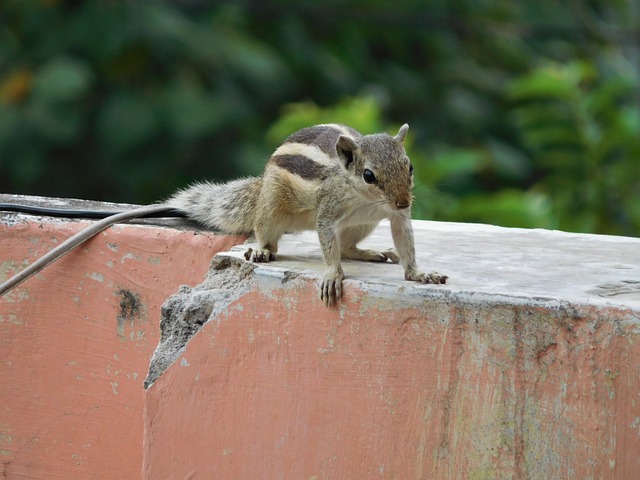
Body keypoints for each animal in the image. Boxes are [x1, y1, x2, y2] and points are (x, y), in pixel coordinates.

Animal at [0, 124, 448, 304]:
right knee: (267, 232)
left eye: (409, 166)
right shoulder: (328, 210)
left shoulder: (392, 217)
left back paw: (368, 252)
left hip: (363, 225)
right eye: (369, 175)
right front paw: (332, 275)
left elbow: (405, 242)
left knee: (351, 243)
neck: (364, 196)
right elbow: (326, 240)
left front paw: (417, 274)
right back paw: (263, 250)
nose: (404, 200)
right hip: (271, 207)